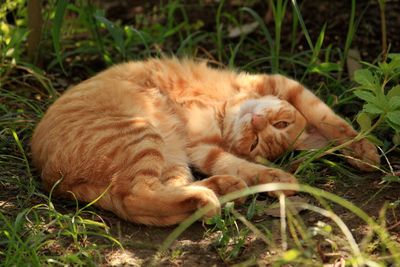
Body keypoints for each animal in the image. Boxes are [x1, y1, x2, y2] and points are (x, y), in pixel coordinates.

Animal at [29, 58, 380, 226]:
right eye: (274, 126)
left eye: (257, 143)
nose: (255, 123)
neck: (223, 112)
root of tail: (51, 177)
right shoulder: (279, 83)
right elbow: (330, 119)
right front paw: (364, 149)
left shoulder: (199, 150)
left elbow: (241, 165)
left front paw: (272, 178)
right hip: (144, 135)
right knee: (135, 196)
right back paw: (213, 194)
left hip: (166, 153)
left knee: (151, 198)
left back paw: (219, 190)